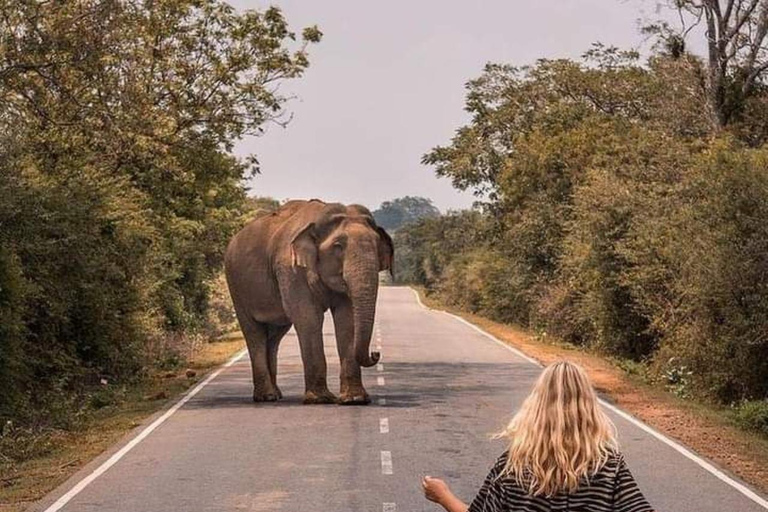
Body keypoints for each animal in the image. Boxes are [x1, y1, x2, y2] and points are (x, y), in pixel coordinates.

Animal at [220, 199, 390, 404]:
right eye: (338, 246)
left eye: (377, 245)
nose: (376, 353)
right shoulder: (290, 269)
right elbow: (308, 318)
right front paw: (320, 399)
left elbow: (346, 319)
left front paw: (354, 400)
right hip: (236, 285)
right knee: (254, 332)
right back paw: (266, 397)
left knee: (274, 335)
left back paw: (275, 394)